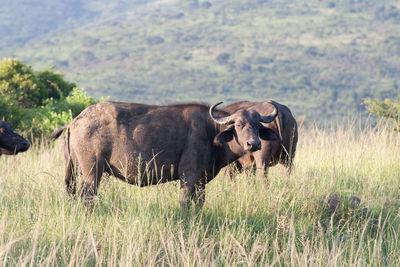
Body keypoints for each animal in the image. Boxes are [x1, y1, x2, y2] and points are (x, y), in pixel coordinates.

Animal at [50, 101, 278, 208]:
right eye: (238, 125)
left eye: (258, 126)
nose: (254, 143)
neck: (210, 130)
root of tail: (75, 121)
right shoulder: (188, 177)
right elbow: (184, 202)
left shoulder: (201, 181)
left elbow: (199, 203)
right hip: (92, 172)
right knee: (87, 196)